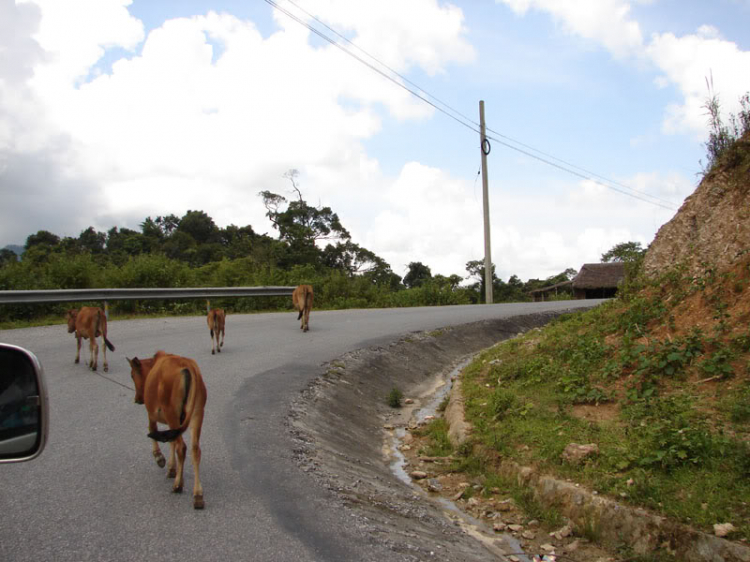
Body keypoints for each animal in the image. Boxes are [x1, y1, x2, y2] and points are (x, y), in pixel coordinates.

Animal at [127, 350, 207, 508]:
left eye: (132, 375)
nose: (137, 399)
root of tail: (188, 368)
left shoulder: (152, 414)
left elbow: (152, 430)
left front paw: (160, 458)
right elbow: (171, 441)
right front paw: (172, 468)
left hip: (172, 414)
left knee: (181, 447)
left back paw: (178, 485)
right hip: (197, 414)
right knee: (195, 450)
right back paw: (198, 495)